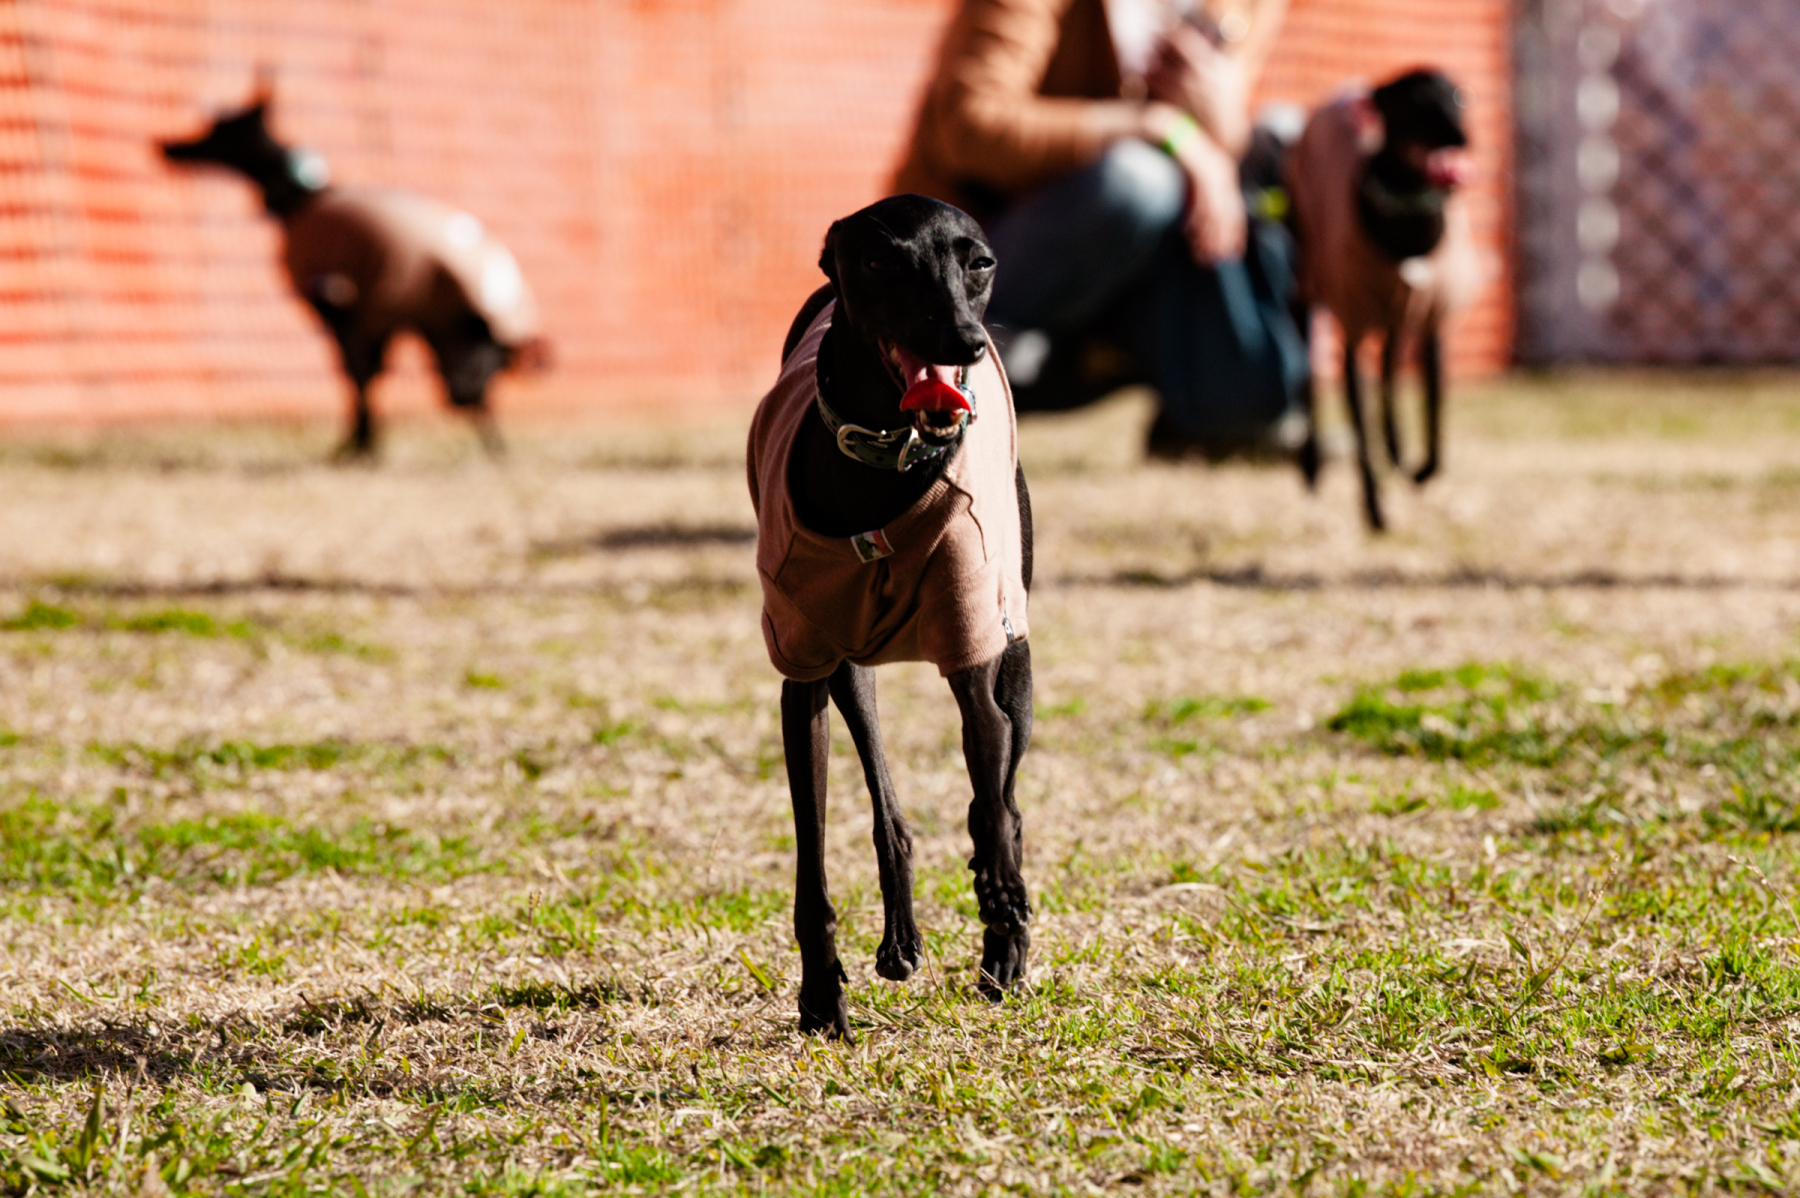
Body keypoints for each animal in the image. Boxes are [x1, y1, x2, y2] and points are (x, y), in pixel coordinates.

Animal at [160, 80, 544, 458]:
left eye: (220, 128)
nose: (167, 147)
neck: (303, 199)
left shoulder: (346, 308)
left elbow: (357, 375)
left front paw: (359, 445)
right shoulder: (376, 314)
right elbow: (367, 376)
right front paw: (364, 443)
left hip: (450, 339)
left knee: (467, 392)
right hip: (439, 331)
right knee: (472, 394)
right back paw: (493, 446)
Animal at [747, 194, 1034, 1040]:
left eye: (980, 262)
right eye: (880, 260)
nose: (966, 342)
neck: (887, 455)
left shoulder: (977, 649)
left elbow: (992, 805)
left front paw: (1003, 920)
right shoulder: (803, 667)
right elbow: (812, 847)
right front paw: (821, 995)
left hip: (1016, 654)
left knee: (1003, 793)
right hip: (853, 666)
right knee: (890, 810)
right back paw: (903, 939)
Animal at [1287, 68, 1482, 530]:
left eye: (1459, 98)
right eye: (1417, 101)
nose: (1462, 136)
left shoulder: (1432, 321)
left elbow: (1434, 414)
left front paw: (1419, 470)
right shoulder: (1352, 330)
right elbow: (1361, 432)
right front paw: (1375, 508)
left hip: (1399, 312)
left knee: (1392, 365)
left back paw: (1397, 451)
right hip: (1308, 276)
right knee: (1307, 374)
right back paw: (1312, 468)